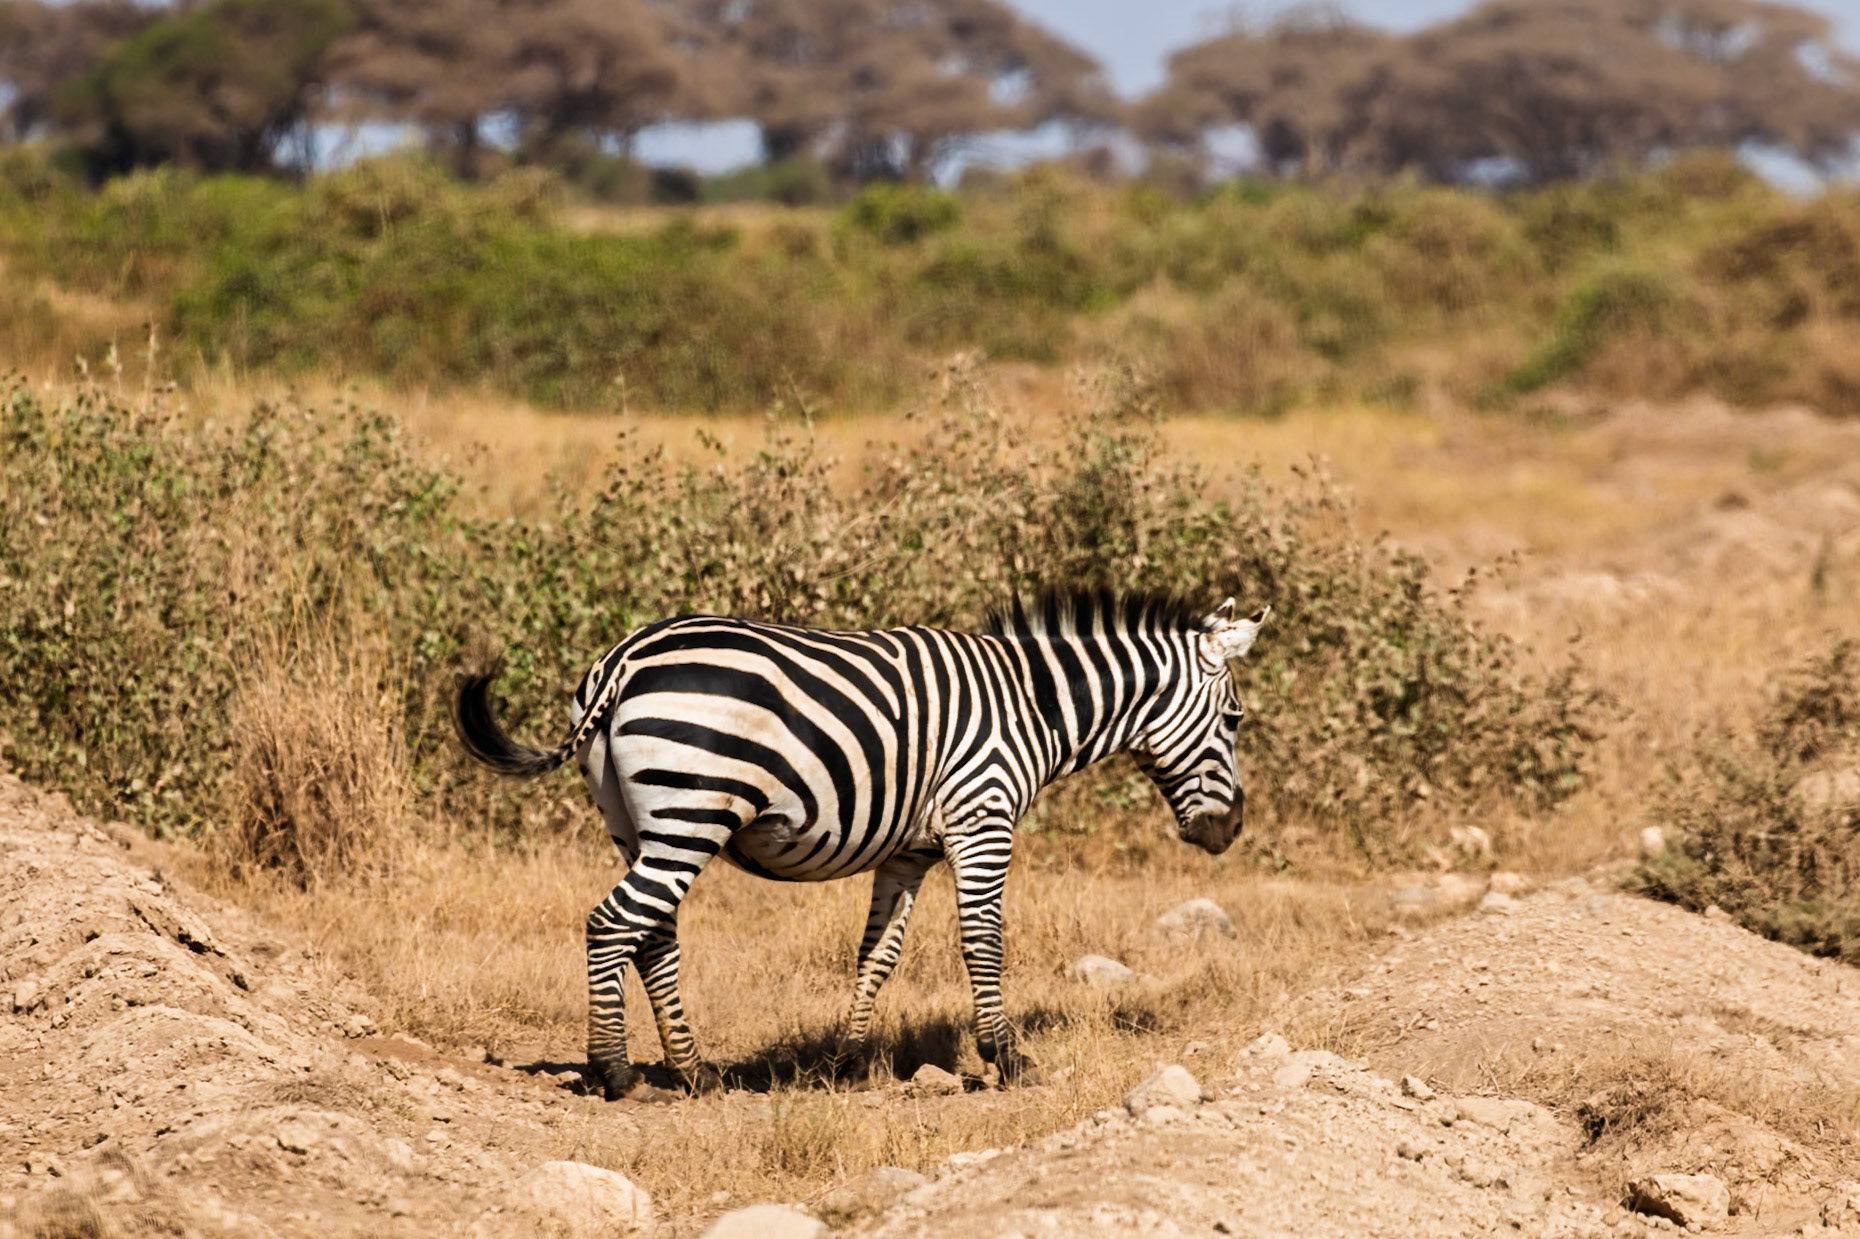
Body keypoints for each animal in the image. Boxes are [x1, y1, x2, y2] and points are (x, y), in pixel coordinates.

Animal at [453, 590, 1269, 1100]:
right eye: (1234, 719)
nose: (1229, 832)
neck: (1031, 705)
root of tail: (624, 657)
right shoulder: (983, 820)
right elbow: (983, 941)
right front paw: (1007, 1057)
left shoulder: (910, 849)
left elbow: (878, 952)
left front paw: (846, 1062)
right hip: (692, 810)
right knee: (613, 923)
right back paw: (615, 1072)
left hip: (636, 821)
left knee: (652, 933)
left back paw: (692, 1071)